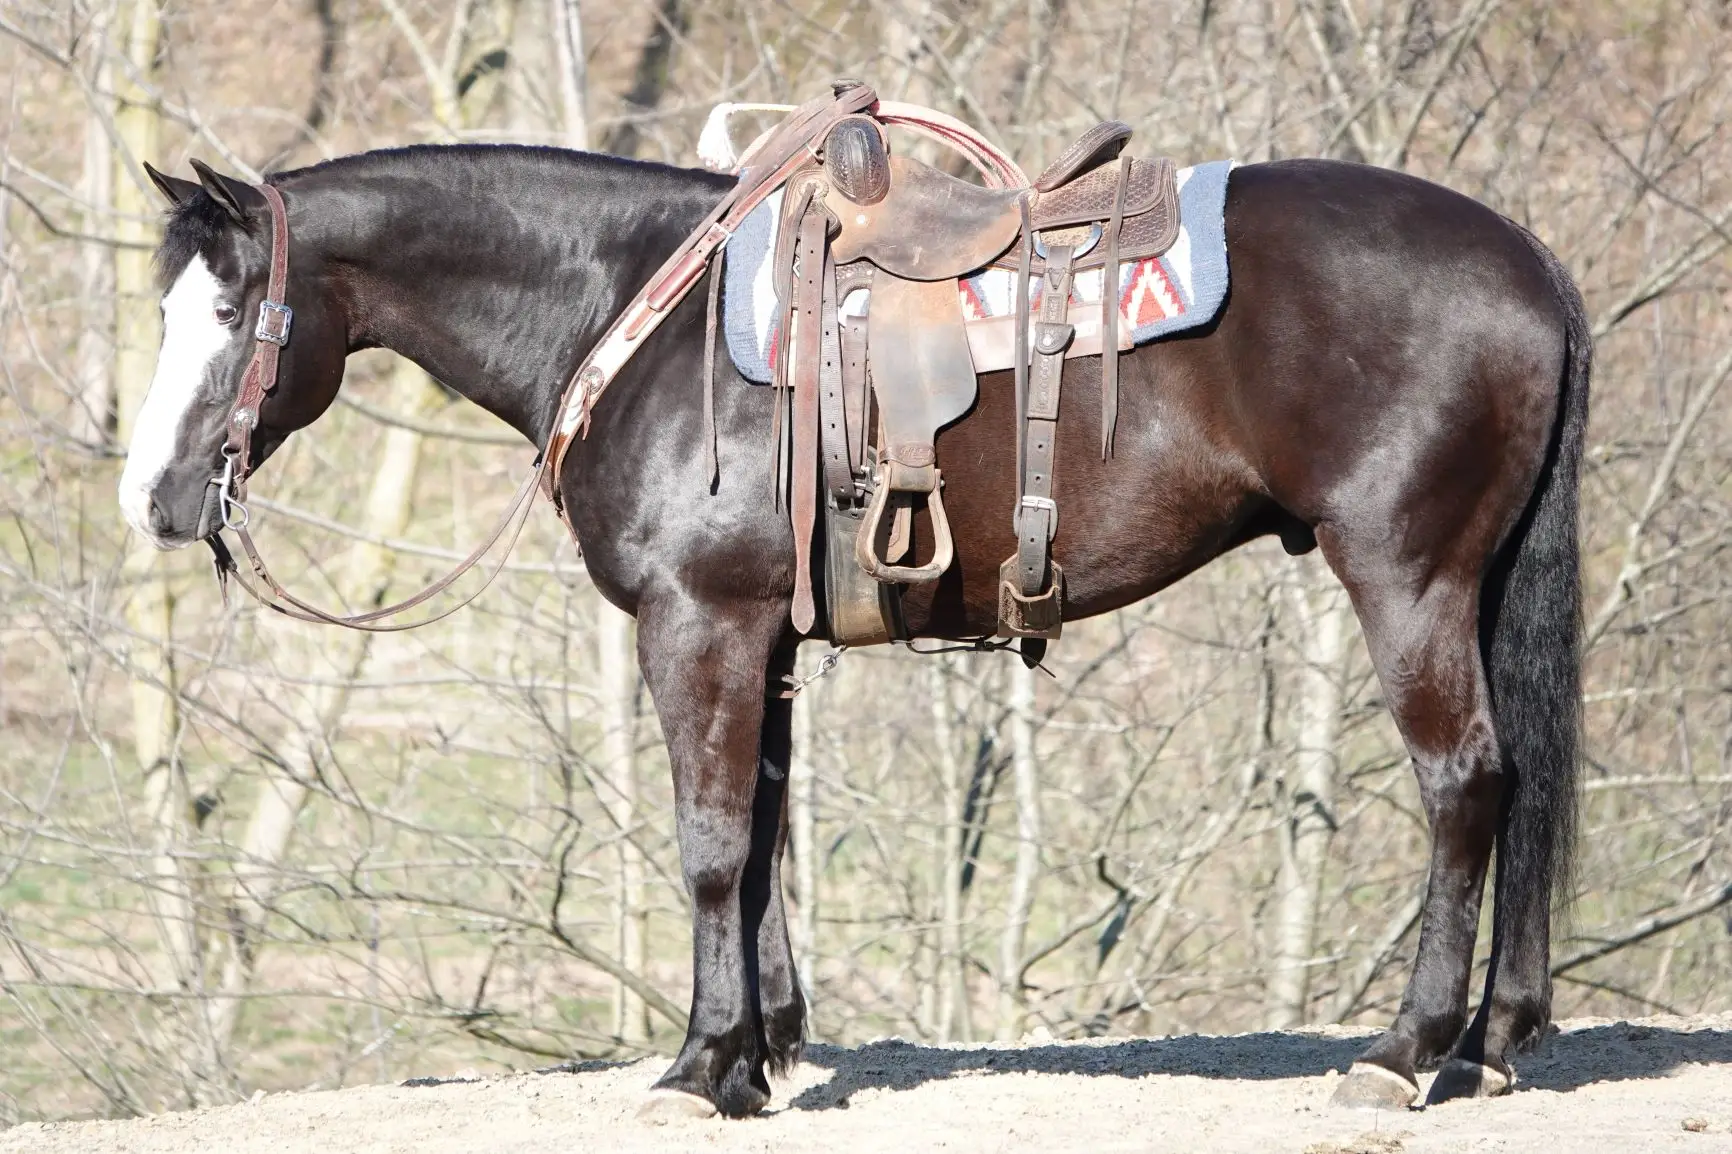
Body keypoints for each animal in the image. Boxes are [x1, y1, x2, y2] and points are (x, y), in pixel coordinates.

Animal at [120, 137, 1588, 1118]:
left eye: (233, 310)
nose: (155, 496)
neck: (635, 311)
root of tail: (1526, 262)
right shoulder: (760, 641)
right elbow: (763, 835)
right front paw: (757, 1051)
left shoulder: (697, 626)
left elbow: (712, 843)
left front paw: (699, 1064)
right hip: (1478, 582)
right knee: (1519, 780)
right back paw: (1493, 1040)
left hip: (1405, 575)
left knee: (1465, 781)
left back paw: (1402, 1050)